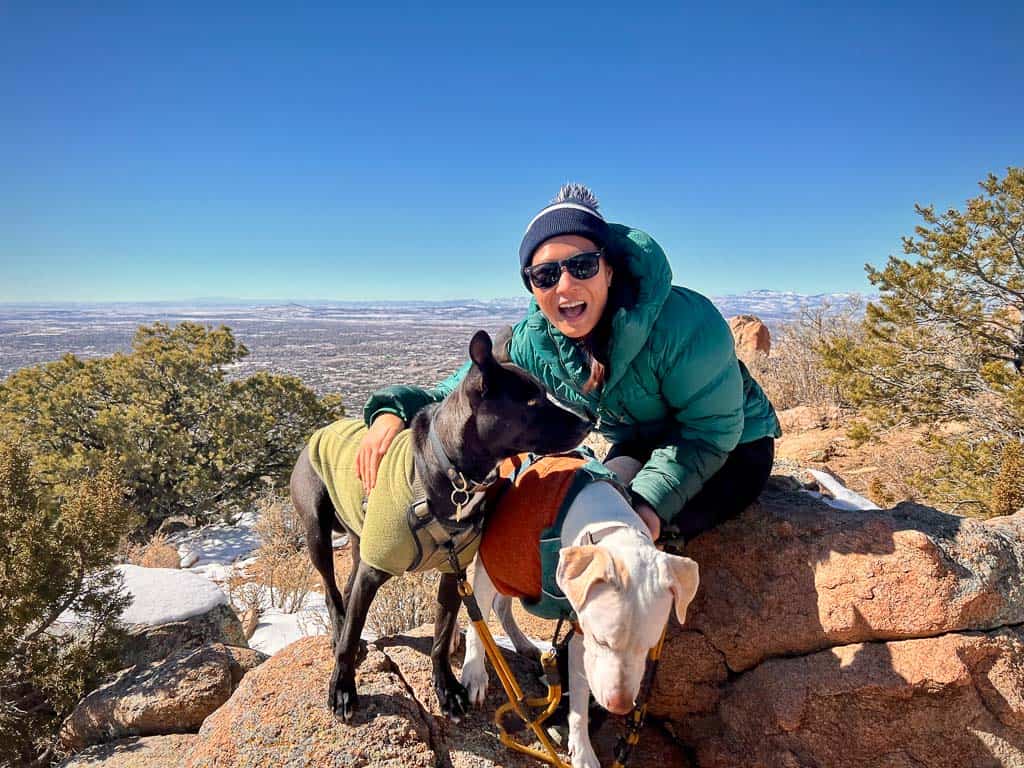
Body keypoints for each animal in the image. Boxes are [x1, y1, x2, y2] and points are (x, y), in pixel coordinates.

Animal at [288, 331, 593, 720]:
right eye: (531, 400)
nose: (589, 419)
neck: (453, 473)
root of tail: (321, 430)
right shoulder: (376, 569)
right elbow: (353, 631)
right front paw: (342, 688)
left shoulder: (453, 572)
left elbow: (440, 634)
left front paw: (447, 688)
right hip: (316, 531)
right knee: (332, 590)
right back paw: (339, 636)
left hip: (360, 543)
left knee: (347, 583)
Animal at [460, 456, 700, 768]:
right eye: (602, 640)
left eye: (648, 647)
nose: (620, 706)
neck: (603, 524)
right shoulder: (493, 568)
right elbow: (477, 621)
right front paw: (474, 672)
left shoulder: (580, 632)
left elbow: (579, 698)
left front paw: (583, 750)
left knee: (502, 606)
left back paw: (524, 644)